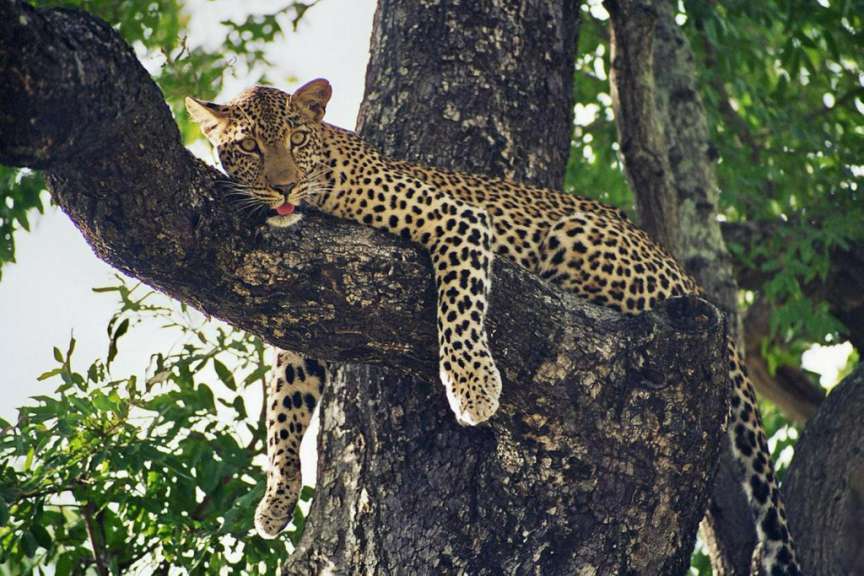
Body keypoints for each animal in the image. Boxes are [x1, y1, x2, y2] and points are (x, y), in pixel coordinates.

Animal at [186, 79, 802, 576]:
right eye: (249, 148)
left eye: (296, 141)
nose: (283, 188)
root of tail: (688, 277)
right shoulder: (308, 304)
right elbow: (286, 403)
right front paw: (278, 495)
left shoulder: (457, 220)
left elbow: (459, 305)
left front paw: (473, 387)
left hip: (579, 240)